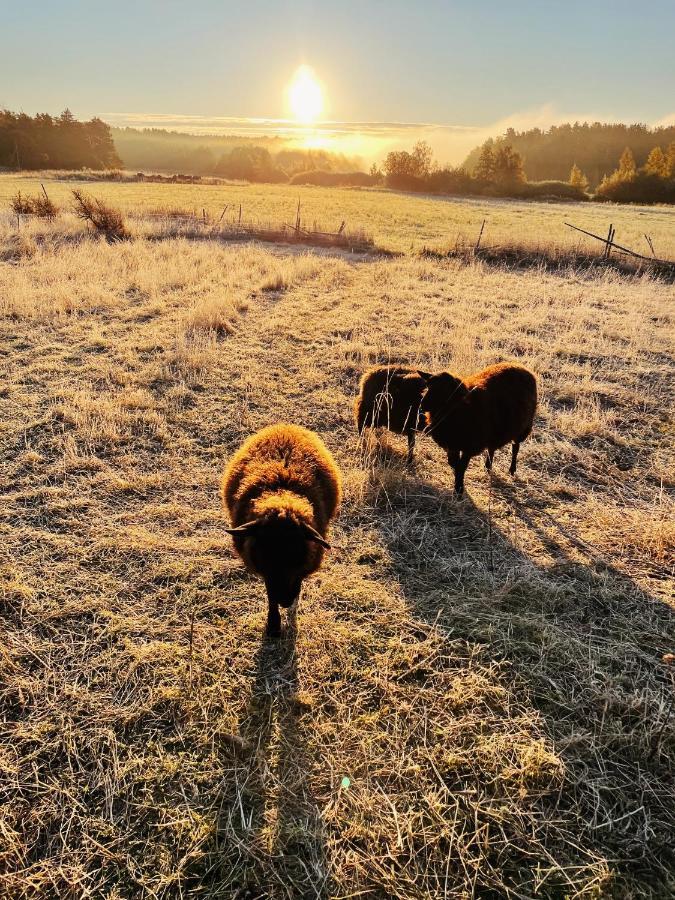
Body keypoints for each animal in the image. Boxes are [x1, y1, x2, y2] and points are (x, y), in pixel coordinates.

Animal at [223, 426, 344, 636]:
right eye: (266, 550)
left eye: (296, 551)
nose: (286, 600)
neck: (281, 495)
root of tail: (285, 426)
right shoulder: (267, 571)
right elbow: (271, 595)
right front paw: (273, 625)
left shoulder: (305, 561)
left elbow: (297, 581)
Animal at [422, 362, 540, 496]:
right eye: (428, 386)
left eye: (444, 390)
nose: (422, 405)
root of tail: (520, 366)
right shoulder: (453, 444)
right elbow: (454, 464)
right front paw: (458, 485)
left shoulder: (469, 446)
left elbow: (461, 466)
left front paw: (459, 490)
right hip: (494, 432)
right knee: (491, 449)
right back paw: (488, 467)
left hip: (522, 428)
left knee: (515, 448)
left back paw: (511, 470)